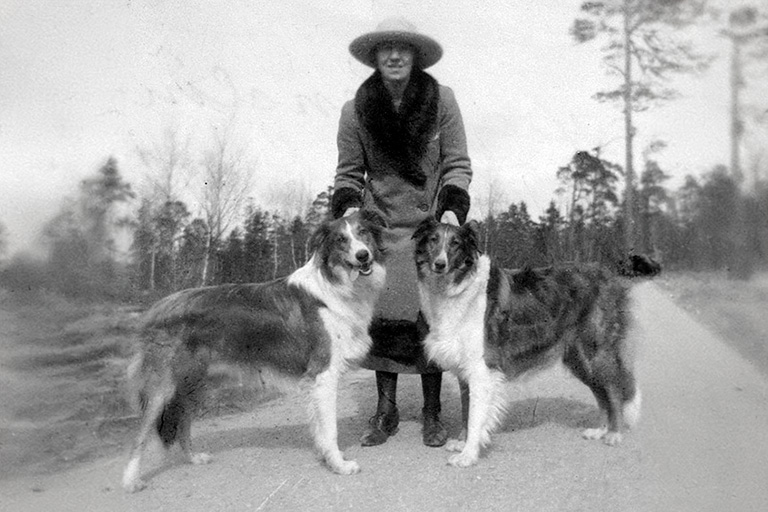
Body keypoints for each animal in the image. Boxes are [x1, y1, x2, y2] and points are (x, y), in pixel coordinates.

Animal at [124, 210, 390, 490]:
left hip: (194, 383)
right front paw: (339, 464)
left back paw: (193, 458)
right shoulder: (323, 374)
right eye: (340, 239)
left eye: (363, 232)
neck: (335, 285)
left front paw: (325, 457)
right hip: (163, 385)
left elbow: (319, 427)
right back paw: (130, 480)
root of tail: (155, 308)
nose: (363, 256)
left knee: (183, 420)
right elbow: (330, 429)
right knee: (141, 432)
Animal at [412, 220, 644, 468]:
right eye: (433, 240)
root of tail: (609, 275)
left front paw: (468, 454)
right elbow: (467, 410)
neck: (458, 286)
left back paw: (614, 434)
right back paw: (600, 430)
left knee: (614, 390)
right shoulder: (466, 369)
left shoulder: (481, 368)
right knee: (601, 394)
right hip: (579, 359)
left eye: (455, 244)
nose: (440, 264)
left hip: (596, 350)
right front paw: (462, 443)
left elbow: (475, 416)